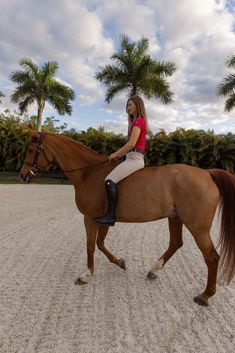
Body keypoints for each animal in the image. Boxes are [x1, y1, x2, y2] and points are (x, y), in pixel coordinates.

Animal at [20, 130, 235, 306]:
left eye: (31, 149)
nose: (23, 176)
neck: (88, 173)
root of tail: (207, 173)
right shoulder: (103, 220)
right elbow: (100, 244)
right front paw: (119, 262)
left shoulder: (90, 218)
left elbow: (91, 246)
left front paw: (86, 275)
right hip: (175, 218)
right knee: (176, 243)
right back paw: (153, 271)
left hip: (198, 227)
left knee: (211, 257)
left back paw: (204, 296)